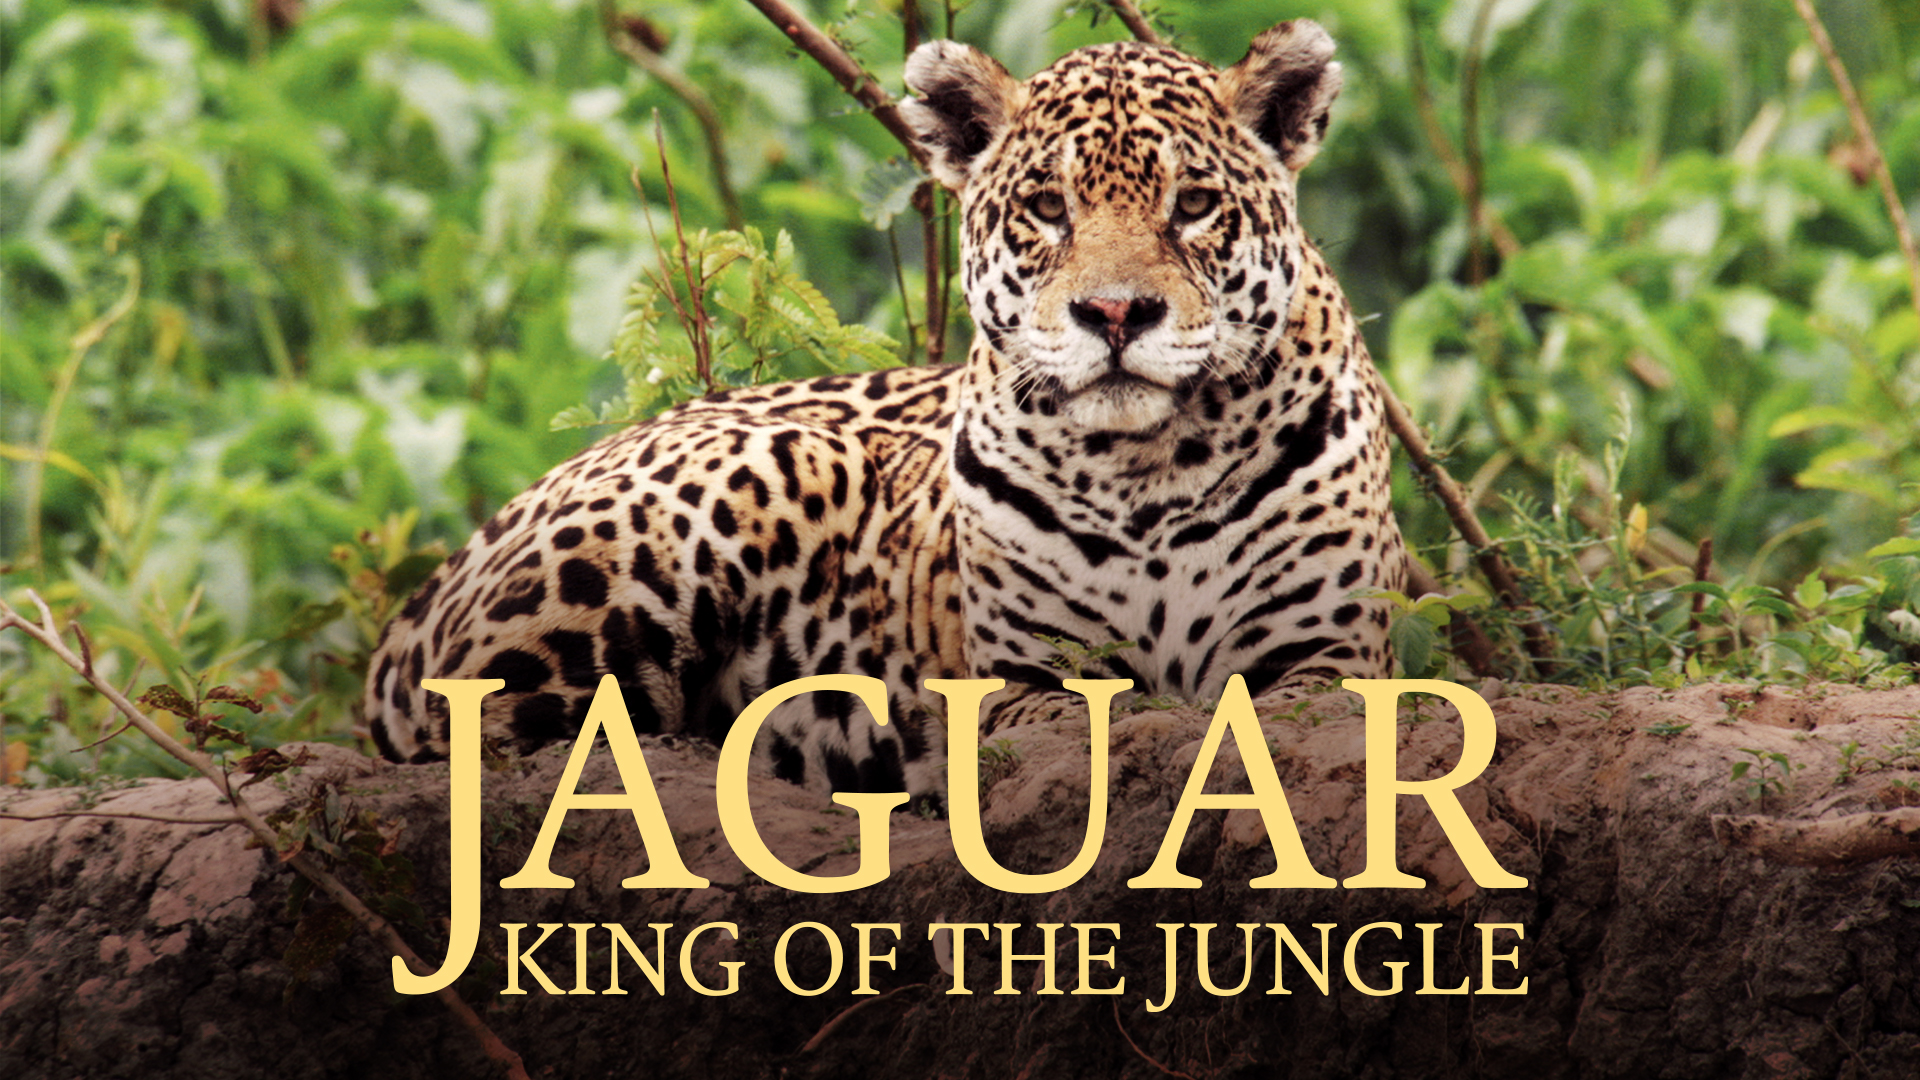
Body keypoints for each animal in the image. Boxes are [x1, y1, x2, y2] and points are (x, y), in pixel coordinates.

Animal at [364, 19, 1407, 805]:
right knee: (497, 746)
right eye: (1047, 208)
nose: (1115, 314)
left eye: (1193, 204)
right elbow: (1089, 719)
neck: (1146, 466)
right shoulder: (1015, 681)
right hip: (755, 478)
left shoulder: (1332, 658)